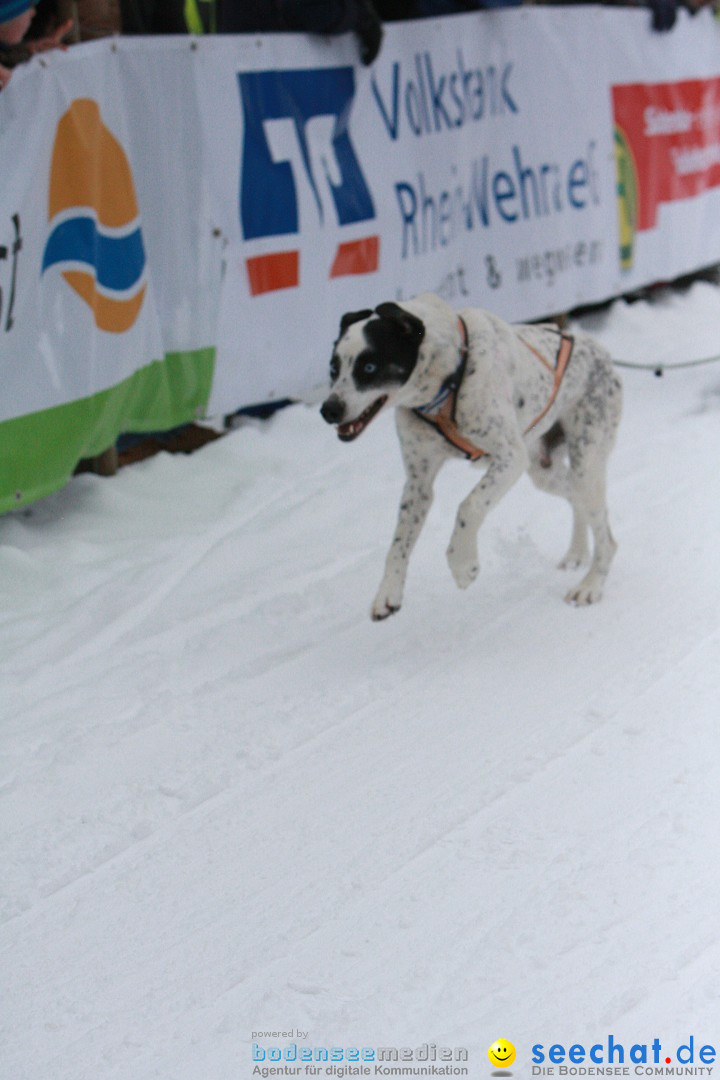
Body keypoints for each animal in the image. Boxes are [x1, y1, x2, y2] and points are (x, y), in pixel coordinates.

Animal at [321, 291, 626, 622]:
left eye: (369, 367)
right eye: (333, 368)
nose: (328, 410)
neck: (447, 376)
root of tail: (597, 349)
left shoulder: (509, 458)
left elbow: (469, 506)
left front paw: (462, 564)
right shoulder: (418, 483)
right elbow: (398, 544)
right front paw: (388, 593)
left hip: (585, 465)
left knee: (607, 537)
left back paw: (590, 585)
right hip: (545, 472)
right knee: (576, 502)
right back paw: (576, 553)